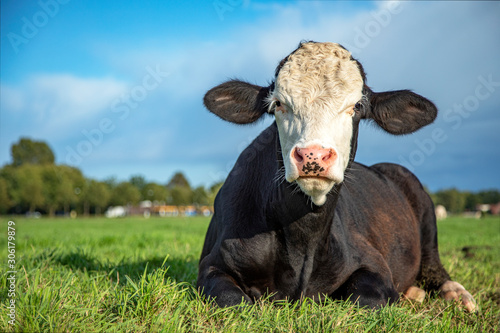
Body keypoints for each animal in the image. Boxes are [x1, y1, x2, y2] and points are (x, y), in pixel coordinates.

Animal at [196, 41, 476, 312]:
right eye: (278, 104)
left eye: (357, 106)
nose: (313, 155)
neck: (303, 243)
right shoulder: (212, 265)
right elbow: (233, 302)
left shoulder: (374, 264)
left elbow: (365, 301)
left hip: (425, 213)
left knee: (433, 264)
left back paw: (456, 294)